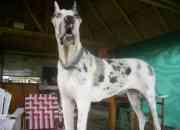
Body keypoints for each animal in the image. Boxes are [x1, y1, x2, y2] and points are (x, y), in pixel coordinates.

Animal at [51, 1, 161, 130]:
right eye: (58, 15)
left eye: (76, 16)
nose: (69, 19)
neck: (70, 62)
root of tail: (148, 65)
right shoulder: (66, 102)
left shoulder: (82, 103)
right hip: (133, 97)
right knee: (142, 118)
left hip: (150, 98)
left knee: (156, 122)